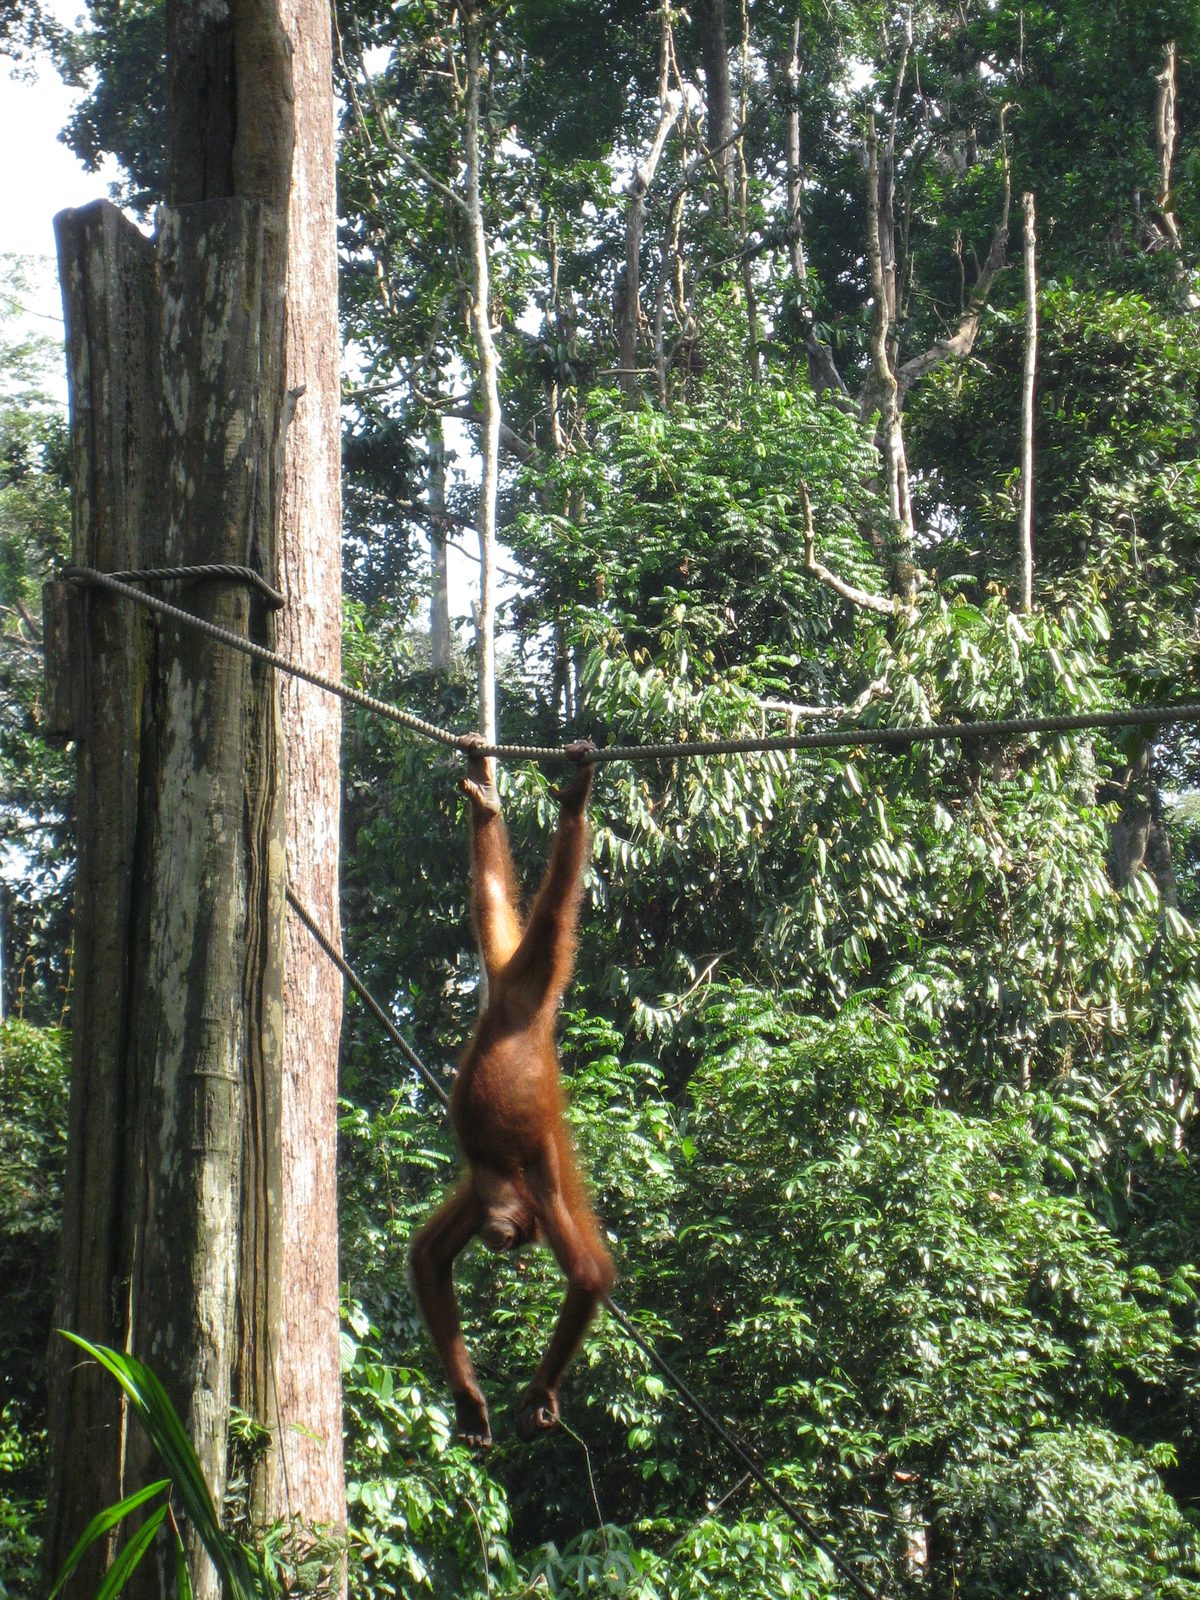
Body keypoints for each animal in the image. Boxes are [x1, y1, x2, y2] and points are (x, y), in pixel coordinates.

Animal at [409, 734, 616, 1447]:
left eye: (516, 1238)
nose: (502, 1239)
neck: (506, 1180)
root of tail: (527, 1010)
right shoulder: (523, 1187)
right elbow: (587, 1274)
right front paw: (538, 1394)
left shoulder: (484, 1193)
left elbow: (429, 1257)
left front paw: (475, 1404)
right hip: (531, 977)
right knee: (552, 914)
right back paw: (575, 800)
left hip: (503, 965)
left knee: (493, 898)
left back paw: (485, 797)